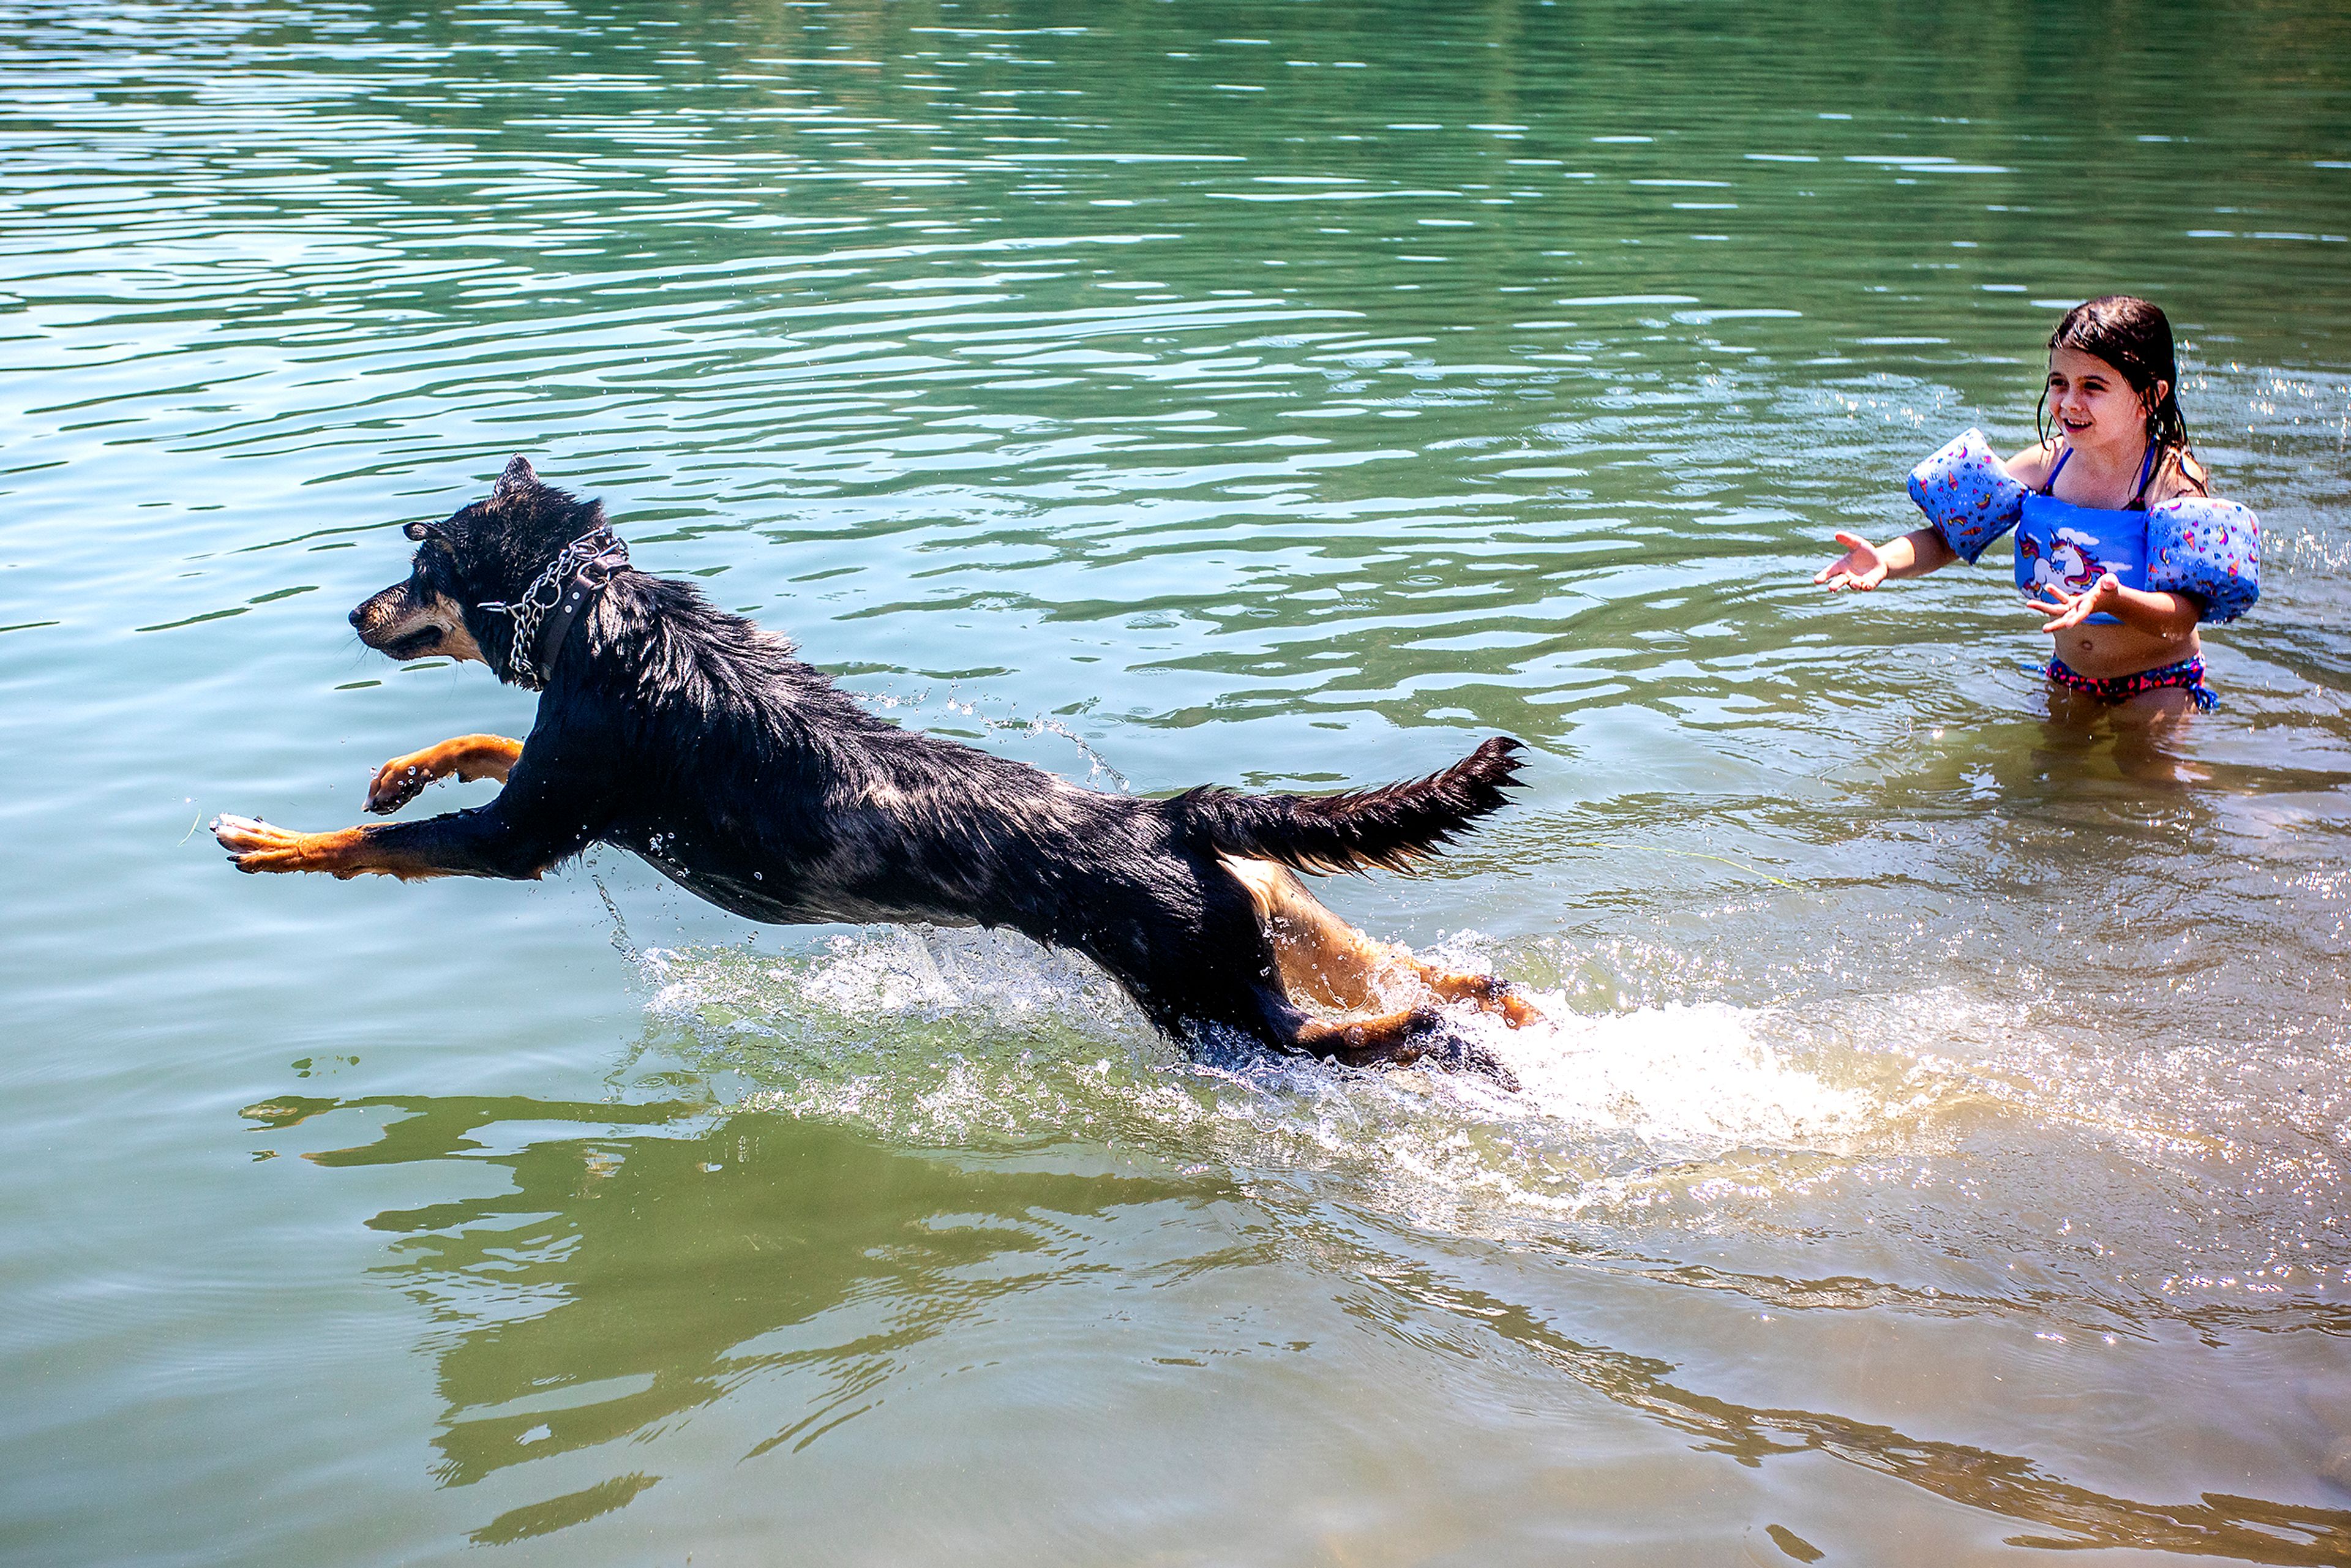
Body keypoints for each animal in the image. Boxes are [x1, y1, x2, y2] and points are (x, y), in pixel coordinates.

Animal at [220, 460, 1542, 1071]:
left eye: (421, 566)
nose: (352, 613)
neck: (604, 614)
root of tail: (1170, 815)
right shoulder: (563, 789)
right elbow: (477, 750)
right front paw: (402, 766)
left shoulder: (526, 833)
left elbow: (373, 847)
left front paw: (273, 843)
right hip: (1262, 938)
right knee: (1421, 977)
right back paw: (1477, 1009)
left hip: (1204, 1005)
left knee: (1348, 1032)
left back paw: (1418, 1034)